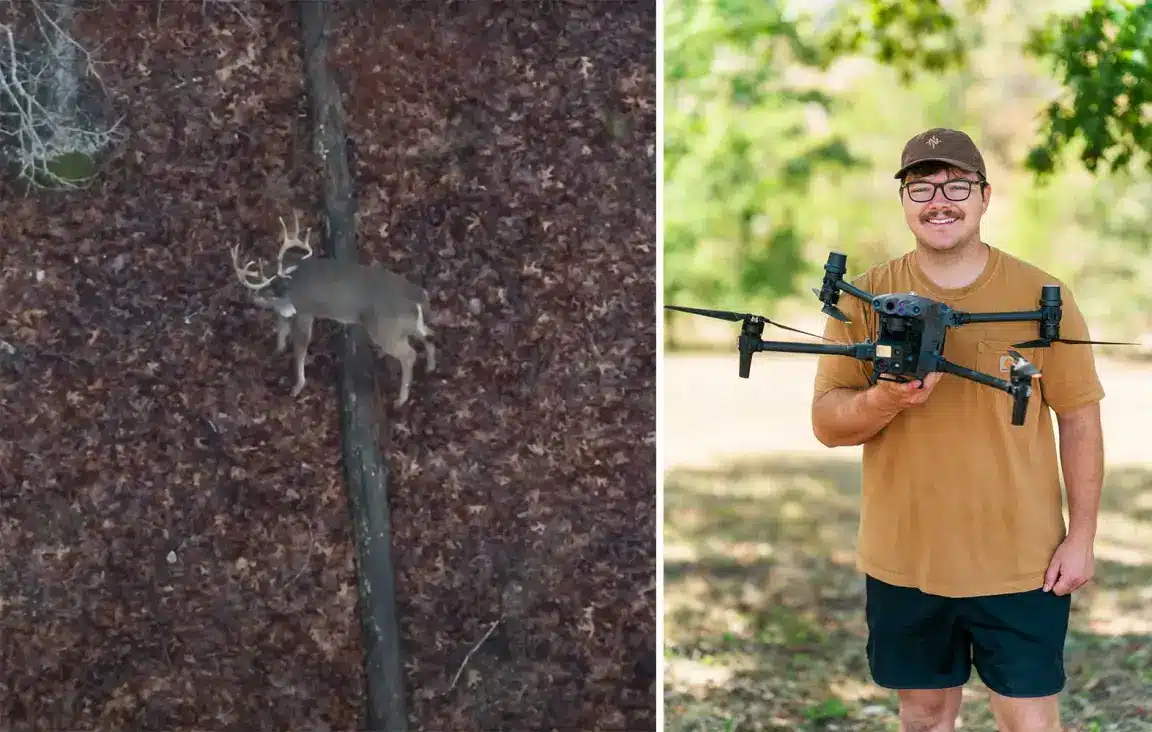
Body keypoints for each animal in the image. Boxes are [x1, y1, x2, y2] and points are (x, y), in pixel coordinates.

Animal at [230, 210, 435, 407]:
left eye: (273, 290)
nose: (290, 308)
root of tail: (419, 297)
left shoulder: (305, 313)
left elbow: (300, 347)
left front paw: (297, 386)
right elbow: (281, 329)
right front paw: (278, 350)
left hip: (385, 330)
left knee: (409, 355)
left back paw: (400, 400)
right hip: (407, 325)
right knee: (428, 335)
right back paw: (430, 367)